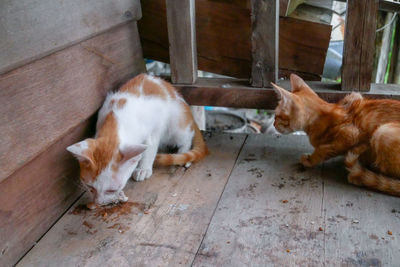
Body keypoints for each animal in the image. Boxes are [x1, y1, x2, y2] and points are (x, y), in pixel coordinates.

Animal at [67, 74, 208, 208]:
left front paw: (143, 169)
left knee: (186, 137)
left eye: (111, 190)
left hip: (177, 123)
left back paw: (182, 153)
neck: (116, 119)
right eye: (90, 187)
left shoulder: (154, 129)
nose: (99, 202)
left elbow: (150, 149)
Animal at [272, 73, 400, 197]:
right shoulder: (355, 95)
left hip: (382, 132)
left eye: (277, 116)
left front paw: (310, 160)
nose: (273, 124)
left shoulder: (351, 134)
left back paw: (361, 176)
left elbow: (323, 149)